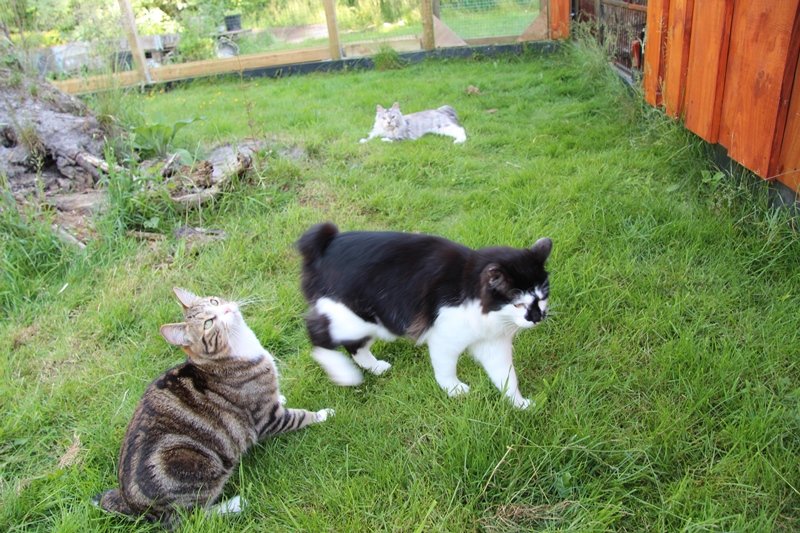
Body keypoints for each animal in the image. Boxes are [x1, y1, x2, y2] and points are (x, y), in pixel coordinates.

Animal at [94, 288, 334, 528]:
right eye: (209, 323)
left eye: (214, 302)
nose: (226, 309)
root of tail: (132, 504)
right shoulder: (266, 417)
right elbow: (299, 416)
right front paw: (323, 415)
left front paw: (282, 397)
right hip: (194, 467)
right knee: (194, 517)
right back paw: (235, 504)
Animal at [297, 222, 552, 409]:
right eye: (519, 304)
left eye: (542, 297)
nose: (537, 317)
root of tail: (326, 243)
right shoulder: (444, 339)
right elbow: (445, 370)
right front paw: (454, 390)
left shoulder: (493, 344)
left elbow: (507, 377)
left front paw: (519, 404)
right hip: (351, 317)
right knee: (317, 332)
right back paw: (345, 375)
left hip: (369, 322)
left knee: (354, 346)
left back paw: (375, 368)